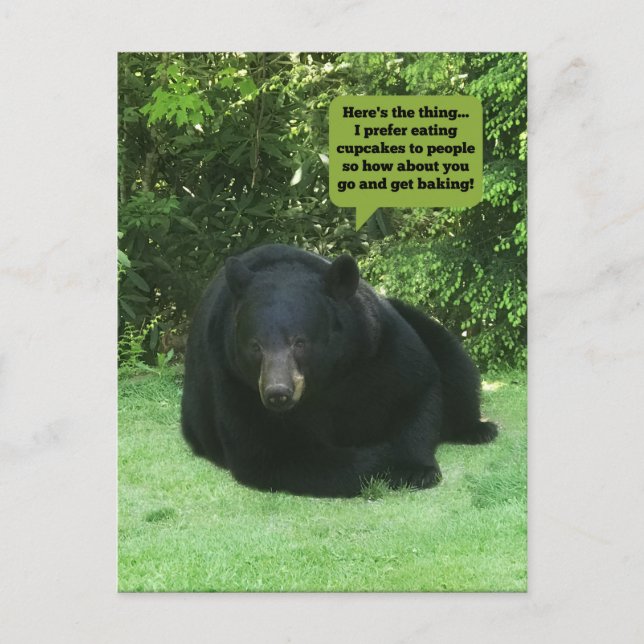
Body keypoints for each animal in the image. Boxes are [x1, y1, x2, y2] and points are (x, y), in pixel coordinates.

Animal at [181, 244, 497, 498]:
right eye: (255, 346)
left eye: (300, 342)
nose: (277, 393)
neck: (326, 380)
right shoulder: (234, 380)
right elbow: (270, 452)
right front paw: (384, 460)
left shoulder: (375, 346)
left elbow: (415, 391)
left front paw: (415, 468)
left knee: (454, 363)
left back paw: (478, 428)